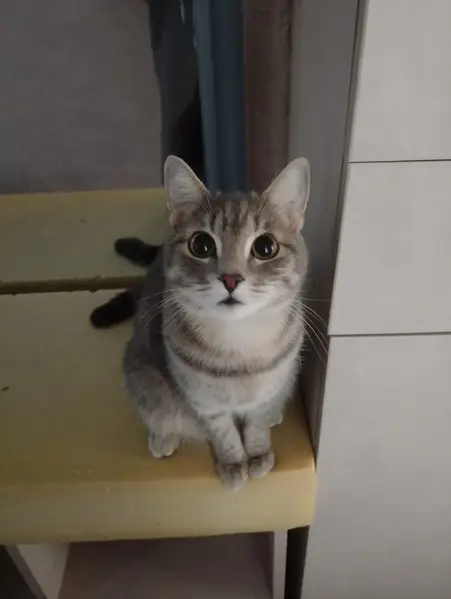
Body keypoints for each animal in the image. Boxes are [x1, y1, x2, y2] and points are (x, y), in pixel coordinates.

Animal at [122, 155, 310, 490]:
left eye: (265, 247)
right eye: (202, 245)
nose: (231, 278)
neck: (239, 346)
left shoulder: (270, 385)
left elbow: (257, 422)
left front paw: (258, 452)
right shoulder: (205, 402)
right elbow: (224, 434)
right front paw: (233, 463)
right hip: (143, 377)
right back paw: (162, 437)